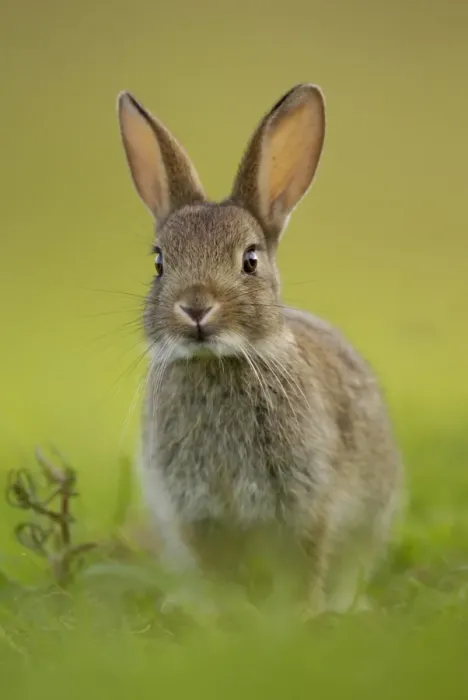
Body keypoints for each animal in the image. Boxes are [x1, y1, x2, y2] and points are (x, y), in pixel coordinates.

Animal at [116, 83, 403, 616]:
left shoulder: (307, 501)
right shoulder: (198, 513)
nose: (196, 308)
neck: (217, 362)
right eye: (160, 262)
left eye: (250, 260)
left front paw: (301, 613)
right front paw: (222, 613)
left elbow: (307, 561)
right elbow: (216, 570)